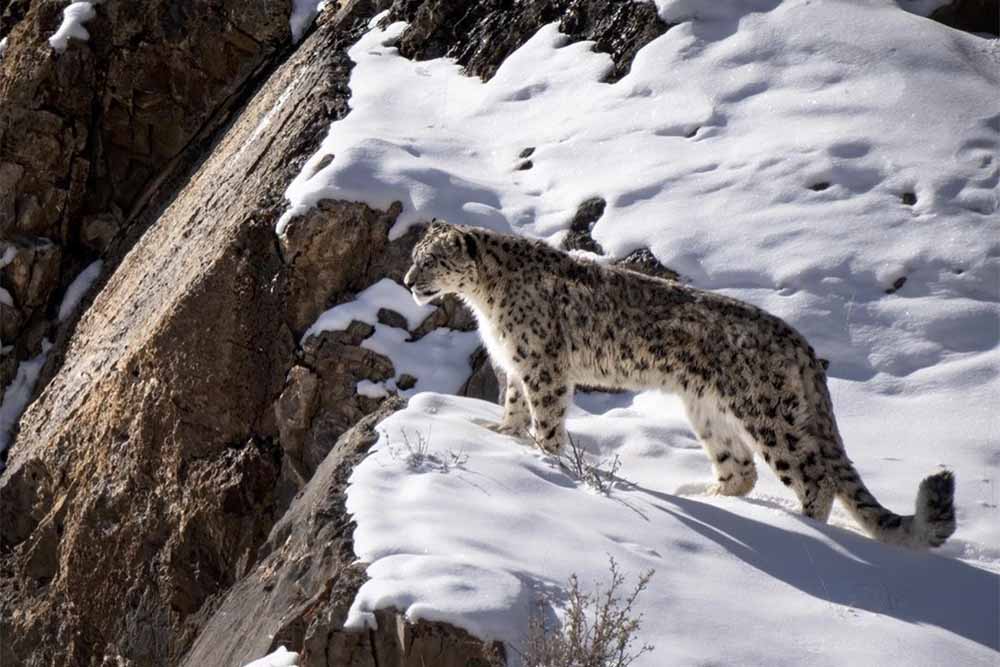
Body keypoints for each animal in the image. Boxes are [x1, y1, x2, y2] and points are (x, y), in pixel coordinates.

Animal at [403, 220, 956, 549]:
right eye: (414, 255)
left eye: (430, 260)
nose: (408, 282)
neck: (486, 301)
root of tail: (798, 342)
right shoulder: (515, 365)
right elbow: (514, 407)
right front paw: (501, 435)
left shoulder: (543, 365)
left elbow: (546, 418)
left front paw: (544, 458)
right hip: (708, 412)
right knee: (741, 470)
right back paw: (706, 497)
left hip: (768, 415)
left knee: (814, 476)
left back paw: (799, 524)